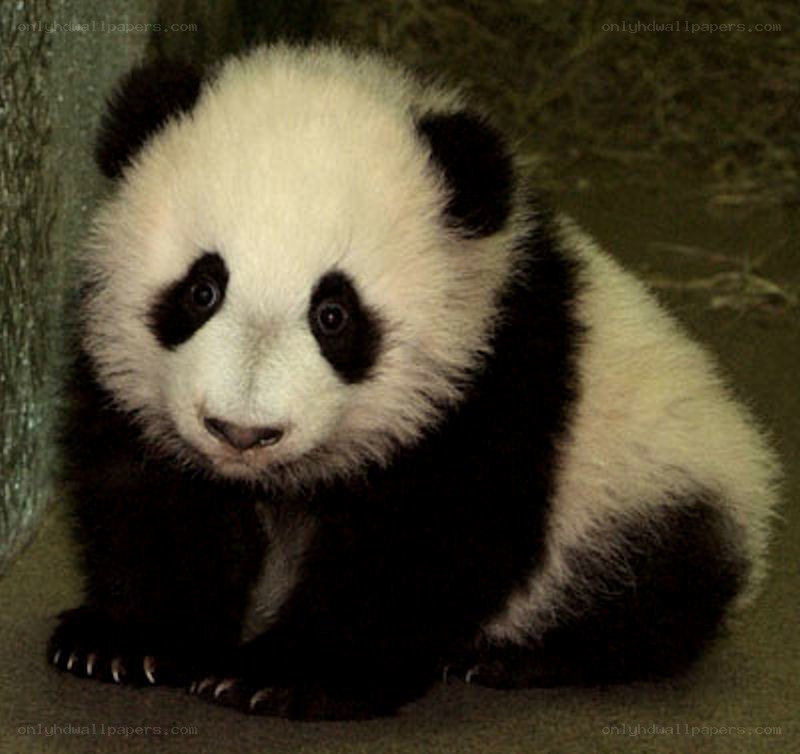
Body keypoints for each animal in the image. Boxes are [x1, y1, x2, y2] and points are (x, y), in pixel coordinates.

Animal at [49, 43, 780, 720]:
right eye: (202, 289)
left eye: (335, 314)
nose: (242, 432)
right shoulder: (129, 380)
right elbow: (153, 495)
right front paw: (125, 641)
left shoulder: (496, 371)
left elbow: (427, 536)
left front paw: (286, 675)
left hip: (648, 485)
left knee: (654, 590)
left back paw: (526, 657)